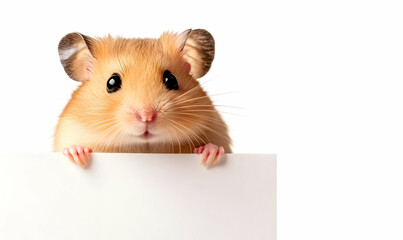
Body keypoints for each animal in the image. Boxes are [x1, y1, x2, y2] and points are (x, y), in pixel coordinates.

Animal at [54, 29, 232, 169]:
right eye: (112, 82)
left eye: (171, 79)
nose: (147, 117)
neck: (145, 148)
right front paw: (76, 153)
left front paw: (209, 154)